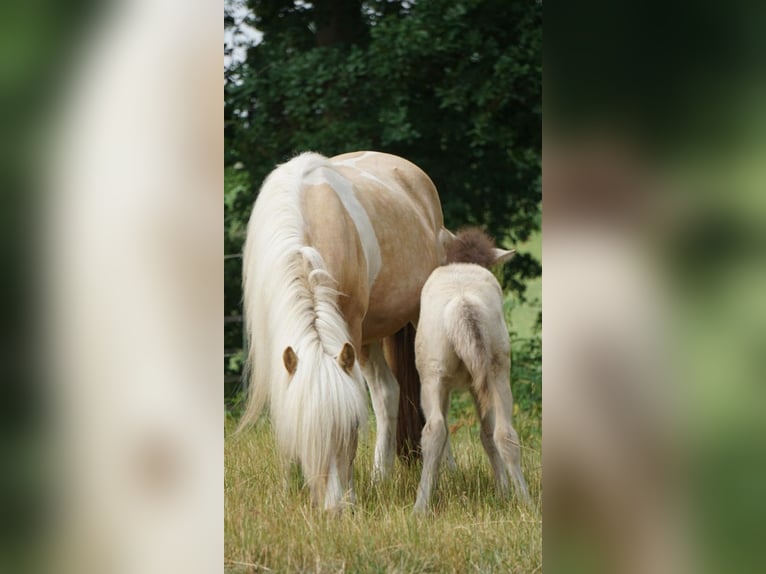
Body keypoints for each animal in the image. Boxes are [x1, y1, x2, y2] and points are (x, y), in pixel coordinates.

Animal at [239, 151, 451, 511]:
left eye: (351, 426)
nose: (336, 507)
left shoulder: (348, 329)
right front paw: (288, 487)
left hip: (415, 318)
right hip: (368, 338)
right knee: (387, 393)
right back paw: (381, 476)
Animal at [413, 228, 531, 513]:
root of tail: (462, 304)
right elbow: (487, 433)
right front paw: (503, 492)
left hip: (434, 376)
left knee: (434, 431)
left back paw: (420, 507)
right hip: (496, 372)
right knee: (505, 434)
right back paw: (525, 501)